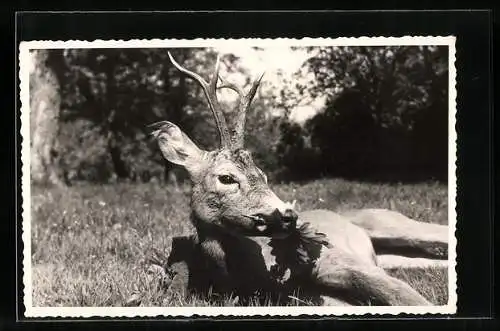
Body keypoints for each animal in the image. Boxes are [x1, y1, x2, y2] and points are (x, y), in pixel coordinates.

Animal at [146, 52, 448, 306]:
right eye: (227, 178)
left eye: (264, 175)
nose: (289, 216)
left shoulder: (337, 259)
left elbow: (405, 295)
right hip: (395, 255)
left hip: (390, 223)